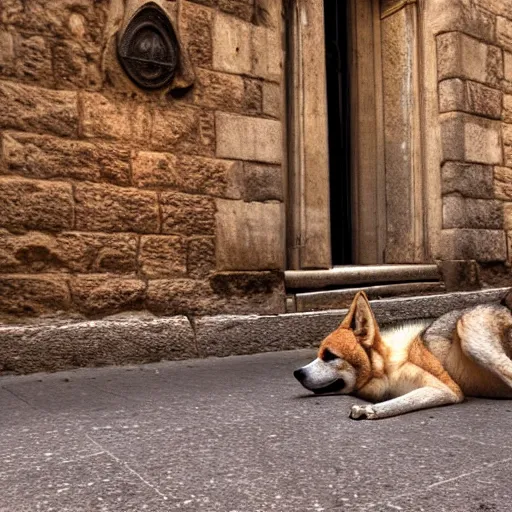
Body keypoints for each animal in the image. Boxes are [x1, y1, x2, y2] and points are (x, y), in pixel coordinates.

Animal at [294, 290, 512, 418]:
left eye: (330, 356)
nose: (297, 373)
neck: (384, 364)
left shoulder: (446, 389)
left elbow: (401, 402)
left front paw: (371, 410)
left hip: (470, 336)